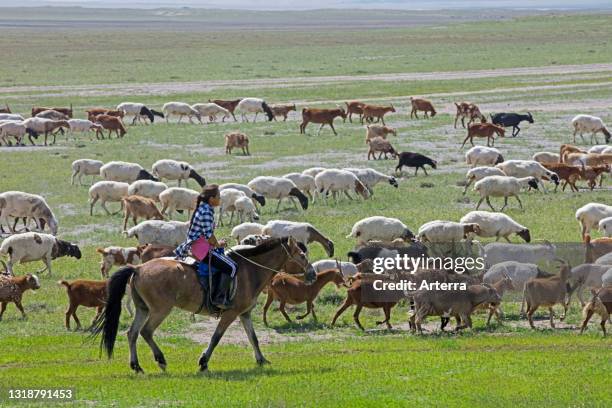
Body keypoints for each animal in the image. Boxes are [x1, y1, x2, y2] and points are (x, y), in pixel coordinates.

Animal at [92, 237, 314, 374]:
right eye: (302, 256)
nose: (312, 274)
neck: (249, 270)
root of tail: (138, 268)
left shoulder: (244, 314)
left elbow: (254, 338)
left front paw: (261, 360)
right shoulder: (230, 314)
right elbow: (216, 338)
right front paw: (203, 362)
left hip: (143, 309)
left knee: (133, 333)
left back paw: (136, 366)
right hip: (160, 310)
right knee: (146, 332)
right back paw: (160, 360)